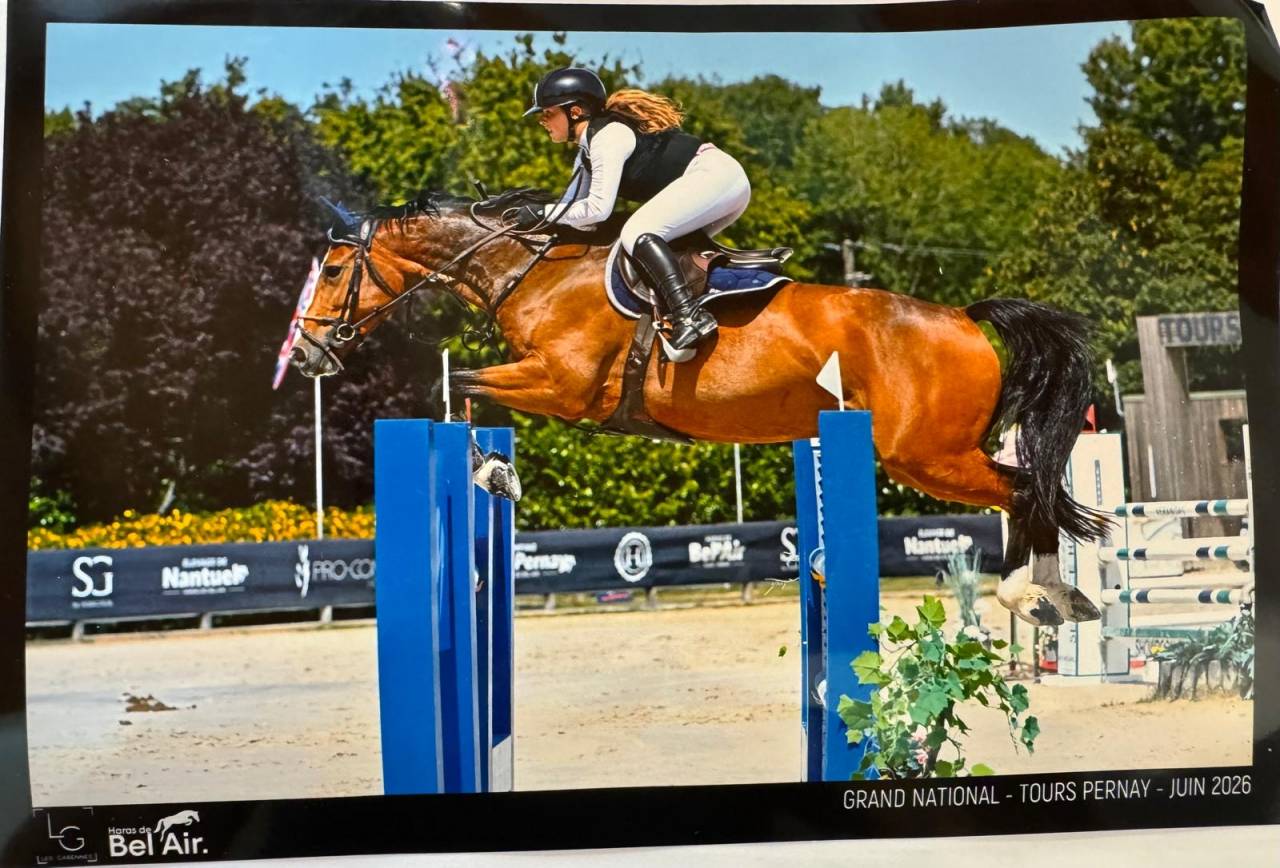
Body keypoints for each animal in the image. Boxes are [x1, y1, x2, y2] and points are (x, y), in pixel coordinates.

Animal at [289, 189, 1110, 628]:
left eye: (332, 271)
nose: (305, 354)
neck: (533, 275)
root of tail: (964, 317)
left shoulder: (562, 387)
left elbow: (459, 386)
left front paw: (494, 473)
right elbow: (461, 390)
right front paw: (495, 470)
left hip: (925, 455)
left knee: (1023, 490)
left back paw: (1034, 595)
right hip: (934, 452)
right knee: (1026, 489)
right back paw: (1060, 597)